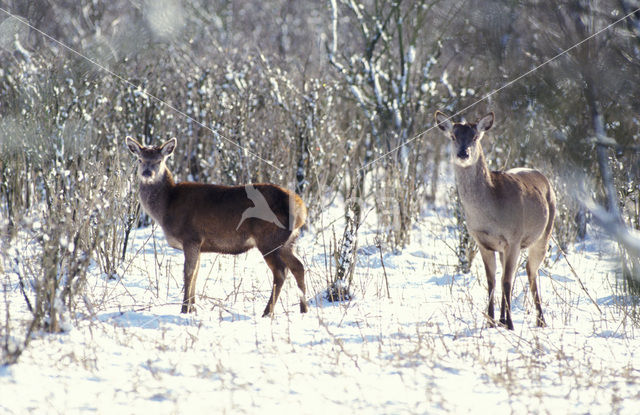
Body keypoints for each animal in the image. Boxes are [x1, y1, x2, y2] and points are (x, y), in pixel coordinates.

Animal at [125, 135, 310, 316]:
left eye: (159, 160)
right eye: (140, 159)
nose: (147, 173)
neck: (167, 206)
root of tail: (301, 209)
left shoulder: (191, 237)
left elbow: (188, 273)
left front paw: (184, 309)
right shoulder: (199, 245)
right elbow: (196, 273)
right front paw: (193, 308)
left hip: (268, 239)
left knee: (281, 271)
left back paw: (267, 312)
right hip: (287, 241)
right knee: (298, 267)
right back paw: (304, 309)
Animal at [436, 111, 556, 332]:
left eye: (475, 136)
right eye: (453, 136)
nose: (463, 154)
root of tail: (543, 177)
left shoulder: (514, 238)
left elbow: (506, 281)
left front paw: (509, 324)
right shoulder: (482, 242)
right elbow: (491, 280)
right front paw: (491, 321)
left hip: (544, 233)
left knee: (530, 272)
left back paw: (540, 320)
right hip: (506, 248)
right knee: (510, 275)